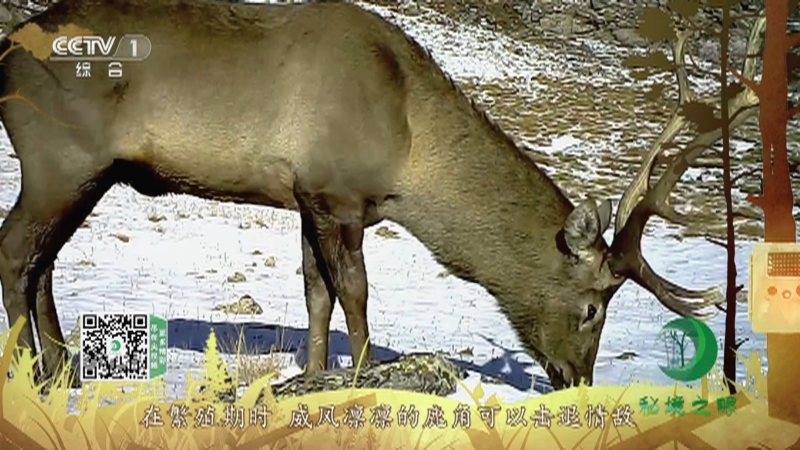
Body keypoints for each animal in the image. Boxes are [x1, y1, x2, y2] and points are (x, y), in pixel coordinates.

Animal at [0, 0, 762, 391]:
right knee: (16, 253)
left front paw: (311, 374)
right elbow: (356, 293)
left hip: (85, 174)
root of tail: (6, 47)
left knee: (43, 261)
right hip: (57, 158)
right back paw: (29, 370)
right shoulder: (335, 192)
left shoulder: (306, 197)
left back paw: (64, 370)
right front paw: (364, 373)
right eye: (593, 307)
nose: (578, 380)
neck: (408, 155)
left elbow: (316, 292)